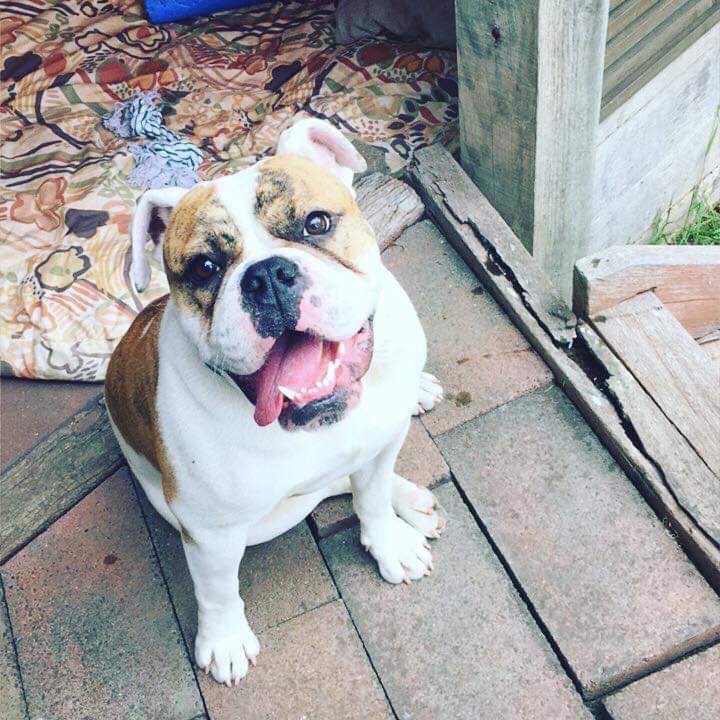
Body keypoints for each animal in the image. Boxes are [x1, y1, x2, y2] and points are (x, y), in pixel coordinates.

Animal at [105, 118, 445, 687]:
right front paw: (223, 640)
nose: (266, 275)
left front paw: (389, 540)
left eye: (316, 222)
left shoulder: (379, 449)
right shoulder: (210, 532)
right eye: (204, 266)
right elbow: (217, 590)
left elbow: (371, 498)